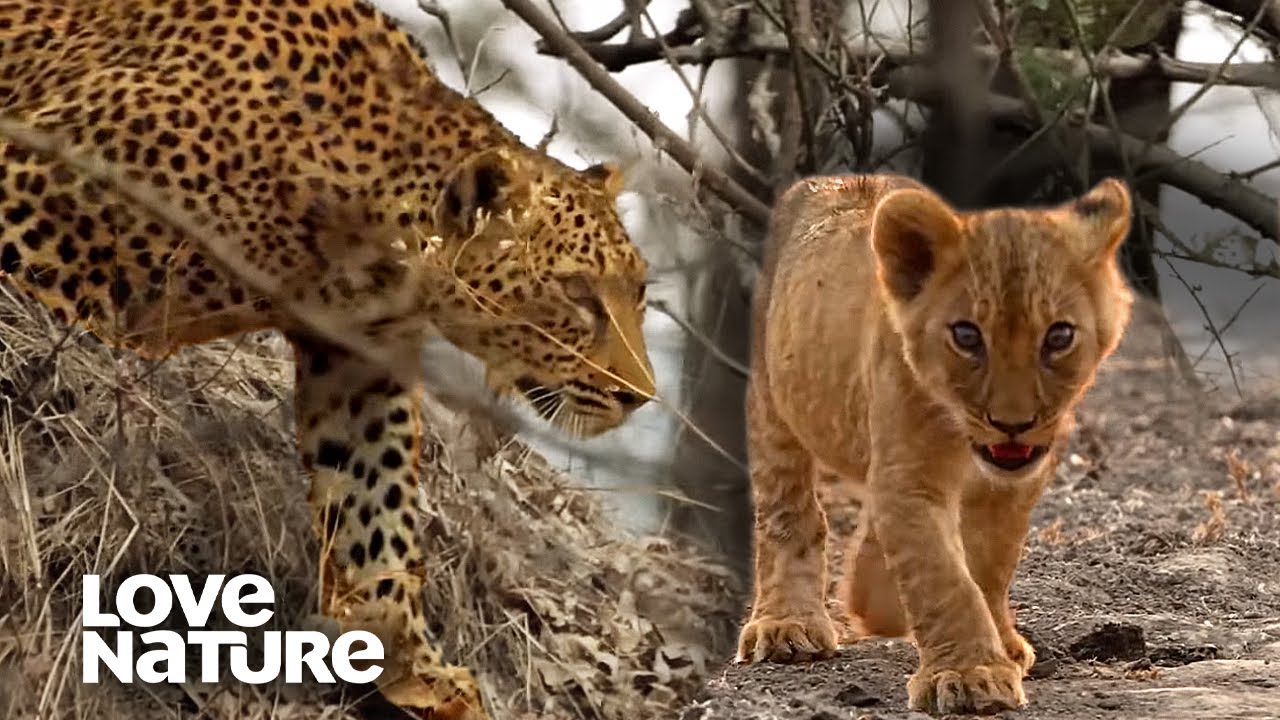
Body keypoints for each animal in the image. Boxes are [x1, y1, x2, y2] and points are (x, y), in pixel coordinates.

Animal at [0, 2, 657, 718]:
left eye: (639, 292)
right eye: (578, 294)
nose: (639, 397)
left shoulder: (358, 361)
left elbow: (376, 495)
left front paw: (405, 656)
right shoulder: (31, 188)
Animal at [734, 174, 1134, 715]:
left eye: (1059, 336)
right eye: (966, 335)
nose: (1013, 424)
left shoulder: (1016, 483)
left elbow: (989, 562)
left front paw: (998, 646)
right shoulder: (911, 477)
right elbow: (943, 576)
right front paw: (970, 676)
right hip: (773, 401)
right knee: (789, 513)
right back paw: (786, 625)